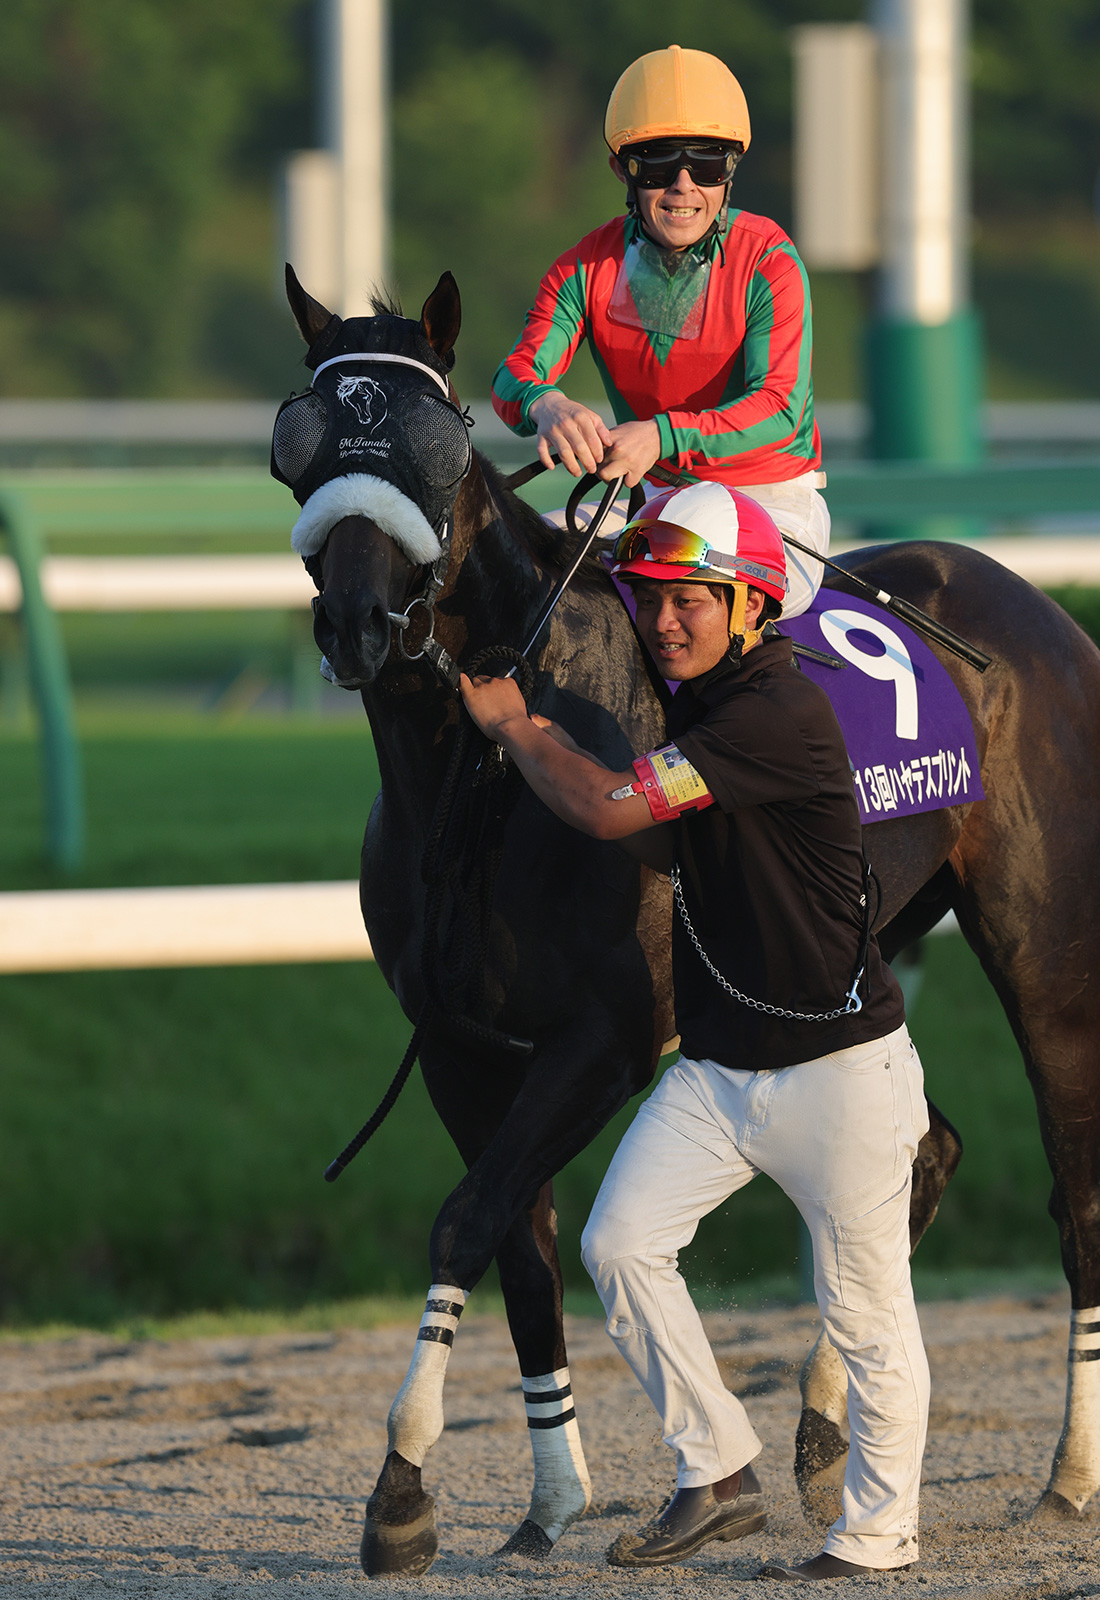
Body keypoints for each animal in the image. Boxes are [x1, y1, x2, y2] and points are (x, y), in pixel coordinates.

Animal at [276, 266, 1100, 1575]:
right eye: (299, 447)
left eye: (426, 445)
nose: (355, 622)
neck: (474, 780)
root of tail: (1035, 607)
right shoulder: (463, 1044)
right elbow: (518, 1249)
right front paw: (546, 1500)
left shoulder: (602, 1039)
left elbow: (465, 1221)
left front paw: (399, 1487)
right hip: (851, 953)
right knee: (920, 1150)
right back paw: (823, 1425)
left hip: (1044, 957)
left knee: (1073, 1198)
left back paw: (1065, 1476)